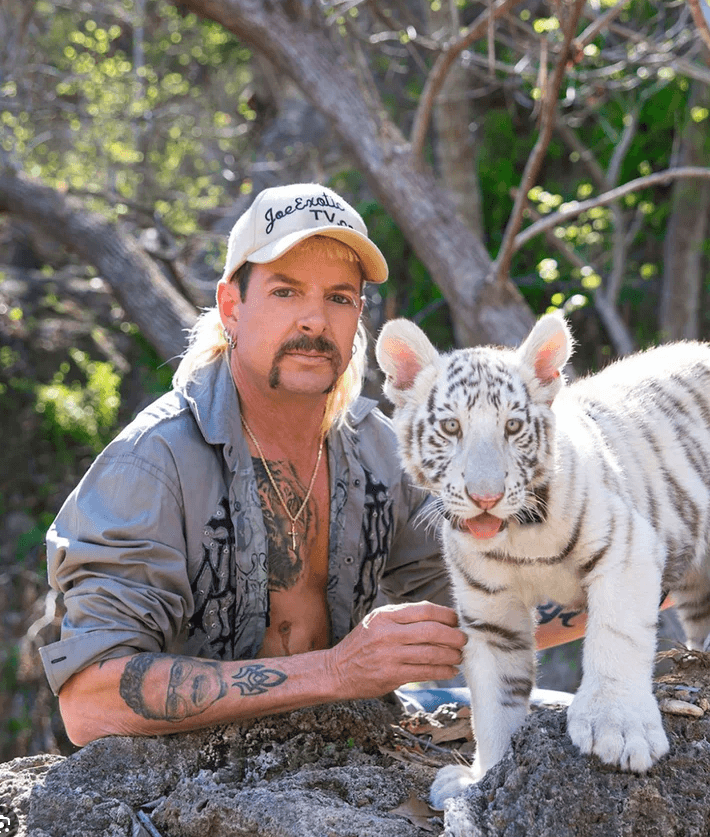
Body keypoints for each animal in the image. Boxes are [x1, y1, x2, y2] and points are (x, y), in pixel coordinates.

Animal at [375, 312, 710, 808]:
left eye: (513, 427)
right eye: (451, 427)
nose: (486, 497)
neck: (519, 537)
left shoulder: (627, 548)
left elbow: (617, 637)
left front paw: (618, 729)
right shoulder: (489, 612)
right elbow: (495, 701)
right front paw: (485, 779)